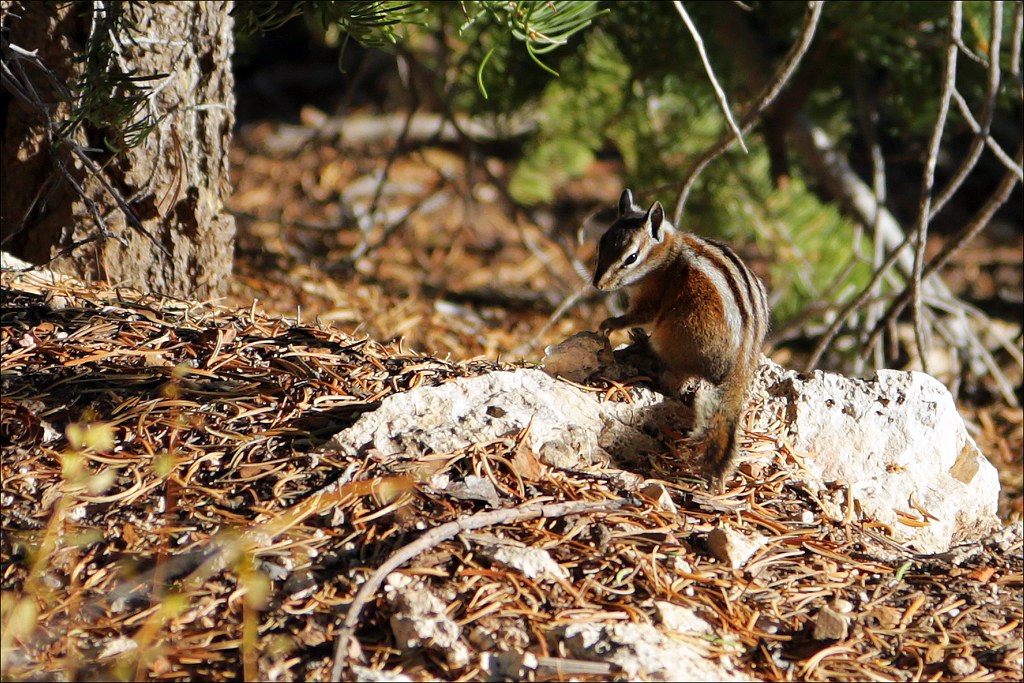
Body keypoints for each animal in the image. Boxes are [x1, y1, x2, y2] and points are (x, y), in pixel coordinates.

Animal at [592, 189, 769, 487]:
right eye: (602, 242)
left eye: (631, 257)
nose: (598, 284)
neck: (667, 254)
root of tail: (742, 365)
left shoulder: (652, 295)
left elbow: (640, 314)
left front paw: (610, 324)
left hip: (675, 334)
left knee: (676, 380)